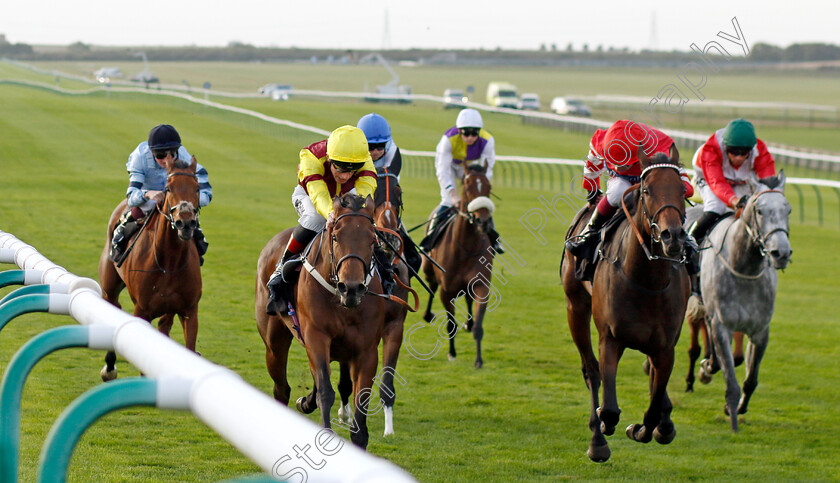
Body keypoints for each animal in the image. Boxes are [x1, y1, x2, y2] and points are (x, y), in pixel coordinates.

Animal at [97, 155, 203, 382]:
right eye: (168, 188)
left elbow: (188, 346)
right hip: (109, 286)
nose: (185, 223)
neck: (169, 263)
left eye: (197, 188)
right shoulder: (142, 310)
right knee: (112, 305)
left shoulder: (189, 310)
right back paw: (109, 367)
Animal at [254, 193, 386, 450]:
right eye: (335, 237)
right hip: (274, 341)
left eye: (372, 239)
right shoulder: (316, 337)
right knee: (281, 388)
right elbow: (325, 390)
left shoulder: (366, 350)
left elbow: (361, 399)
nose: (351, 288)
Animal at [424, 164, 496, 368]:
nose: (483, 221)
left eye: (488, 187)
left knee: (468, 300)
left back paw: (468, 323)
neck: (466, 247)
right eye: (468, 186)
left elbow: (478, 325)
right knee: (431, 285)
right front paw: (452, 353)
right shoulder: (446, 290)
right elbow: (450, 324)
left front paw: (478, 360)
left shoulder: (481, 285)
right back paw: (427, 315)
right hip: (428, 269)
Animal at [560, 148, 692, 466]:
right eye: (646, 190)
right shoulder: (611, 338)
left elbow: (655, 406)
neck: (647, 280)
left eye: (683, 189)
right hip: (575, 306)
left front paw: (646, 428)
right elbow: (609, 407)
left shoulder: (664, 347)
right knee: (591, 370)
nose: (672, 236)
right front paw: (603, 432)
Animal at [684, 170, 792, 432]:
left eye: (788, 210)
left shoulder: (760, 330)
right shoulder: (722, 325)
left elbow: (750, 378)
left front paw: (739, 407)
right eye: (759, 210)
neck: (743, 266)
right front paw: (733, 418)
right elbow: (730, 379)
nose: (781, 253)